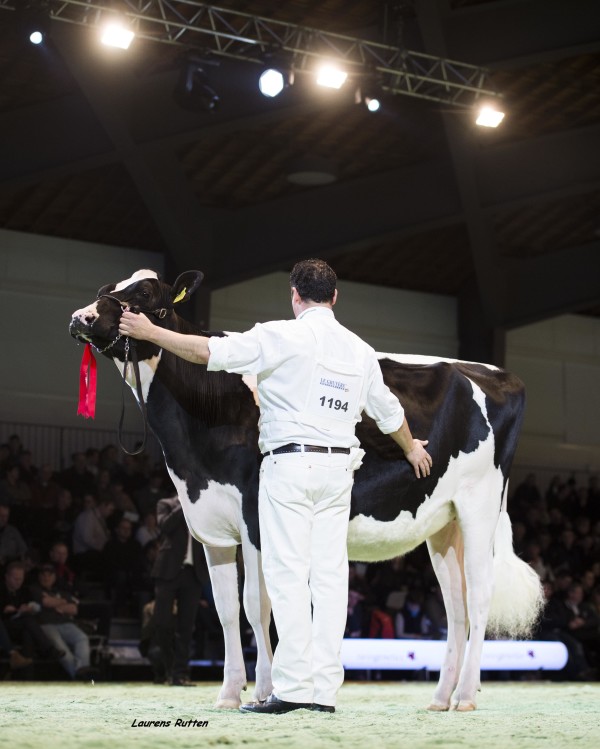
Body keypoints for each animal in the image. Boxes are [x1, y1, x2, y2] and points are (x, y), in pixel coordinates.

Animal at [69, 268, 543, 712]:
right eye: (105, 289)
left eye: (146, 294)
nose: (82, 317)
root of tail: (494, 372)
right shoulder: (210, 524)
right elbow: (226, 610)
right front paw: (228, 693)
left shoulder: (256, 517)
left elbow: (256, 604)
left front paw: (263, 690)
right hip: (444, 523)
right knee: (456, 604)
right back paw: (441, 697)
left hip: (479, 506)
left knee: (480, 594)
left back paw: (465, 695)